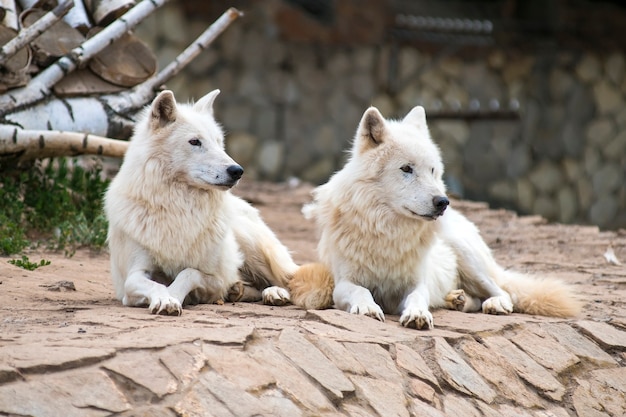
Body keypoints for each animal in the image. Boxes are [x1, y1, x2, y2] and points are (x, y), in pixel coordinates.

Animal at [105, 88, 298, 316]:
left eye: (218, 142)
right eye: (195, 142)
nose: (237, 171)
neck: (179, 208)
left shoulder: (216, 279)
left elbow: (188, 273)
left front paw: (173, 296)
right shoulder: (133, 277)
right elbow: (155, 284)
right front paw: (165, 298)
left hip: (253, 244)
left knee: (288, 281)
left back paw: (275, 293)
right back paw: (239, 291)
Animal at [288, 104, 580, 328]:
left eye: (431, 170)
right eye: (406, 169)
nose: (443, 202)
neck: (389, 232)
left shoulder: (416, 283)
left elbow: (418, 297)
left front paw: (417, 314)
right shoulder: (343, 282)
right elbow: (361, 290)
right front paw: (368, 308)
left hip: (469, 259)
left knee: (503, 291)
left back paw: (493, 303)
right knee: (475, 297)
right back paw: (457, 299)